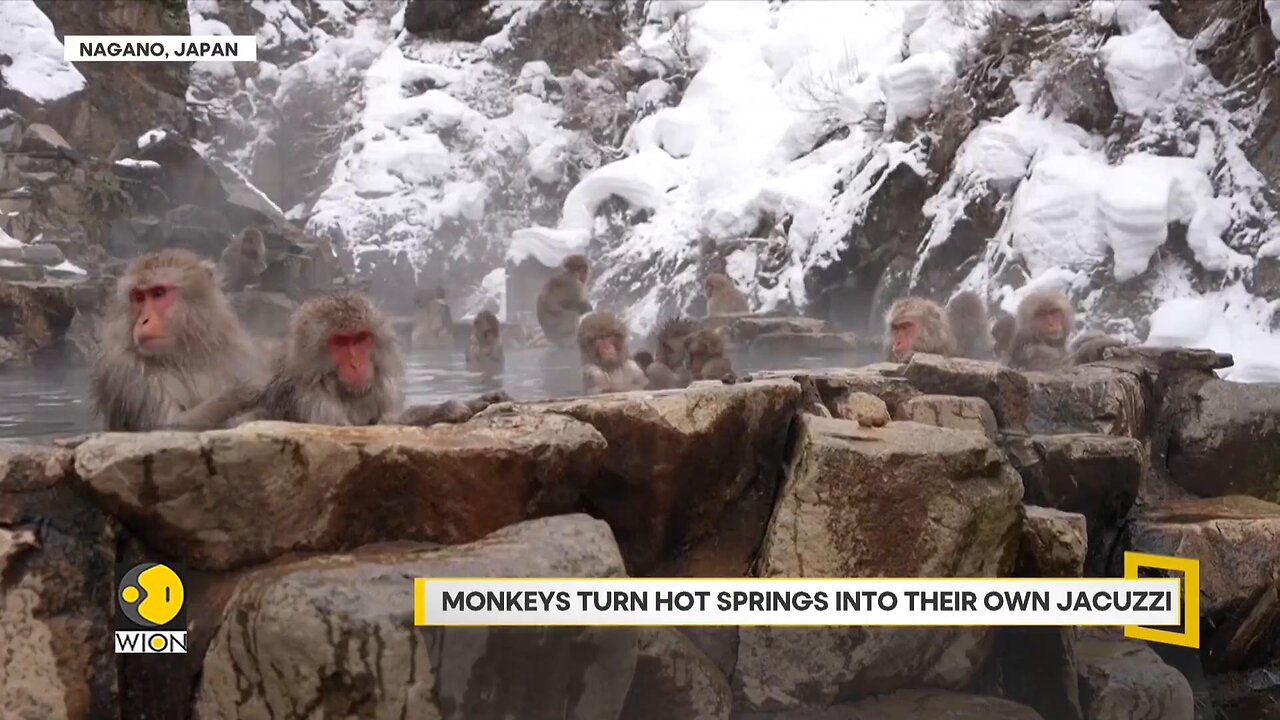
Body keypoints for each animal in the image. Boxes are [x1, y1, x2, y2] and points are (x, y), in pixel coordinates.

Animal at [93, 248, 270, 425]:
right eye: (139, 297)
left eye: (158, 293)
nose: (143, 320)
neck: (184, 355)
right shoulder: (127, 370)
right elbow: (169, 425)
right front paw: (243, 392)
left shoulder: (237, 349)